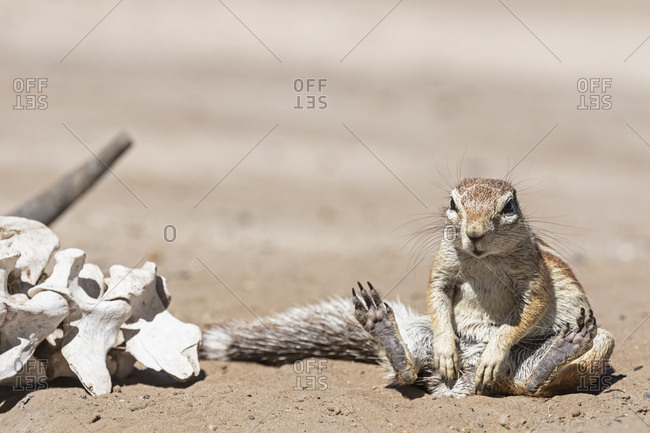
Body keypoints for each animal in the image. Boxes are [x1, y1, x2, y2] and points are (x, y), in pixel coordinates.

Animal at [201, 177, 615, 397]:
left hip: (599, 343)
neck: (483, 260)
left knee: (533, 386)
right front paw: (447, 347)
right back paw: (385, 329)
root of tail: (466, 381)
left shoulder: (534, 276)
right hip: (419, 336)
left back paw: (559, 350)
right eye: (453, 203)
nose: (474, 234)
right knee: (408, 372)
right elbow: (437, 295)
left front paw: (495, 350)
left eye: (509, 206)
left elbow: (528, 311)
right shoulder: (442, 267)